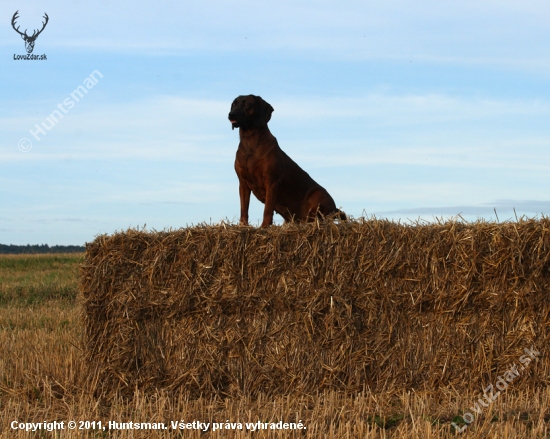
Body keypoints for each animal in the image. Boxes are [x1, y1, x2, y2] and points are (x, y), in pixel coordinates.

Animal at [229, 94, 344, 229]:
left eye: (246, 104)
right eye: (233, 104)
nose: (231, 114)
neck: (249, 141)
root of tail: (335, 209)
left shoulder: (271, 181)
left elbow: (267, 209)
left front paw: (264, 226)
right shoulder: (243, 183)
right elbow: (244, 208)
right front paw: (243, 225)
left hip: (319, 197)